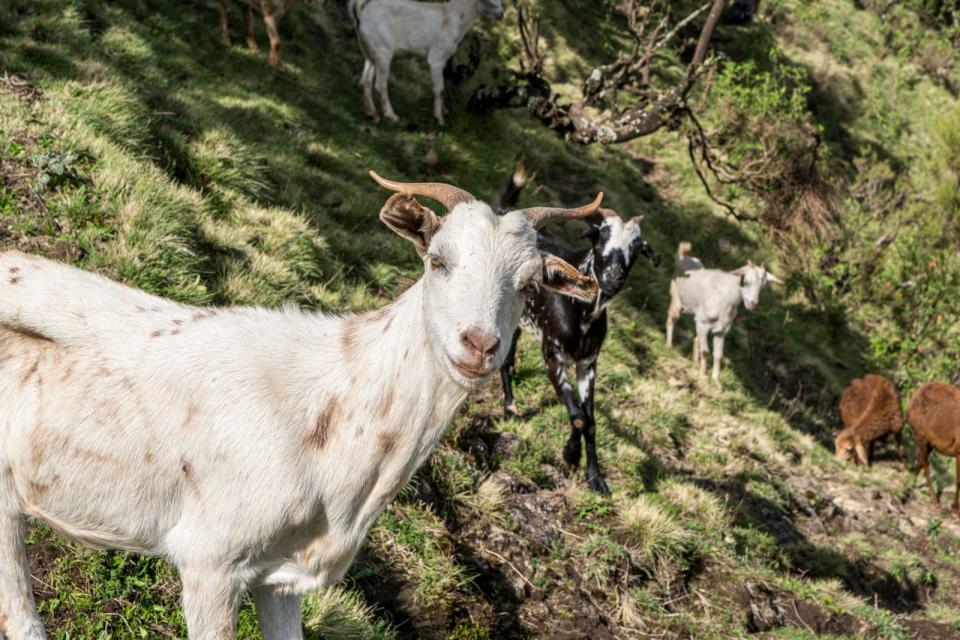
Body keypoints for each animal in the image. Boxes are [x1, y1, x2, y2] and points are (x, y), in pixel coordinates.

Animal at [664, 242, 784, 384]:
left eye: (762, 286)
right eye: (745, 282)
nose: (752, 303)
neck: (725, 298)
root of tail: (683, 257)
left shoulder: (721, 331)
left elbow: (718, 355)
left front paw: (716, 381)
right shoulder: (703, 324)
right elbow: (705, 351)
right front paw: (703, 376)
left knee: (696, 338)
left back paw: (694, 363)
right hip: (677, 301)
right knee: (671, 320)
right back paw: (669, 346)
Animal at [908, 382, 960, 512]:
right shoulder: (958, 449)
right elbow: (958, 480)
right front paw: (954, 507)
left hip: (930, 443)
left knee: (920, 461)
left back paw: (911, 485)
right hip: (921, 435)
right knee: (925, 464)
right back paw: (934, 500)